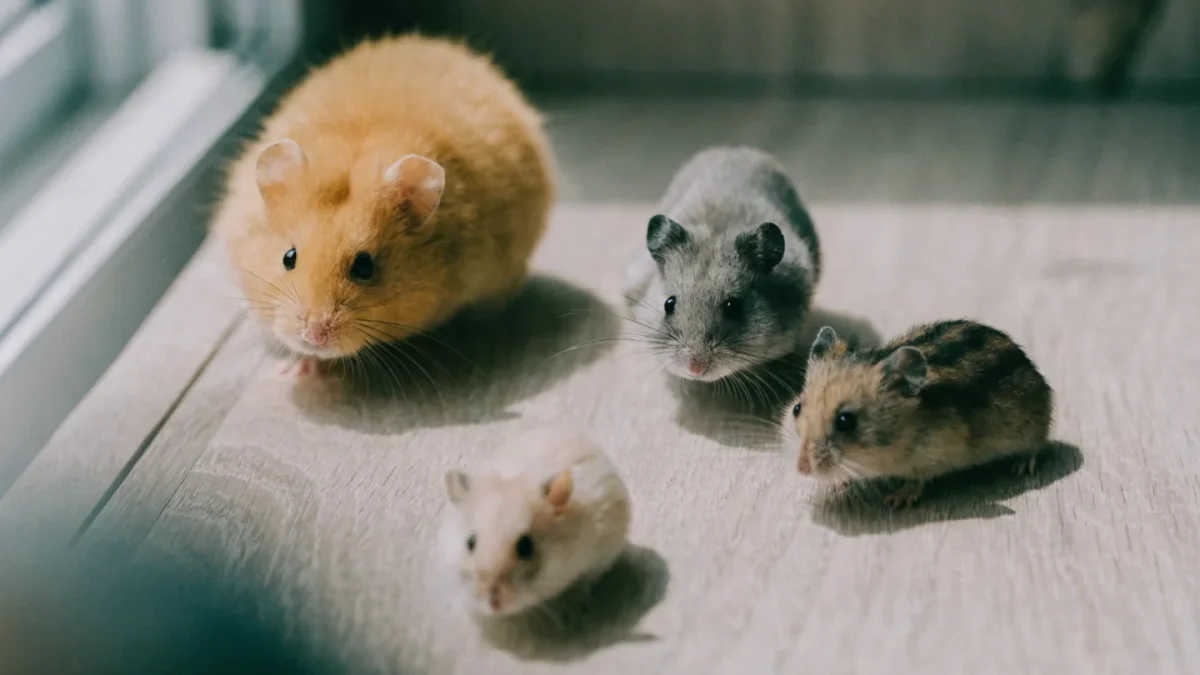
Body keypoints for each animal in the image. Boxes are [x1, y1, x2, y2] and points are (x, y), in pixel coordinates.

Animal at [784, 320, 1053, 509]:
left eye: (845, 421)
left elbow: (917, 479)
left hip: (1030, 429)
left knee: (1036, 446)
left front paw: (895, 501)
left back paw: (1021, 467)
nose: (802, 469)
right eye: (797, 408)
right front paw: (838, 485)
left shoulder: (934, 455)